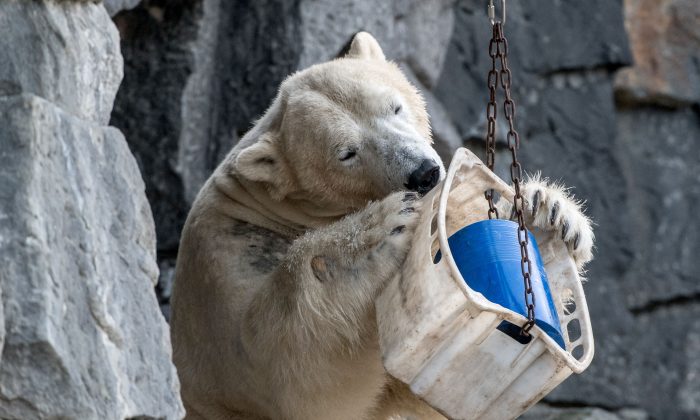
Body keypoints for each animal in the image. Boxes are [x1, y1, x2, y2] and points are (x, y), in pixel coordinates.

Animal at [170, 31, 592, 418]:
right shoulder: (227, 266)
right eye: (346, 153)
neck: (270, 204)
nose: (424, 173)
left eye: (395, 107)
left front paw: (550, 214)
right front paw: (377, 231)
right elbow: (293, 370)